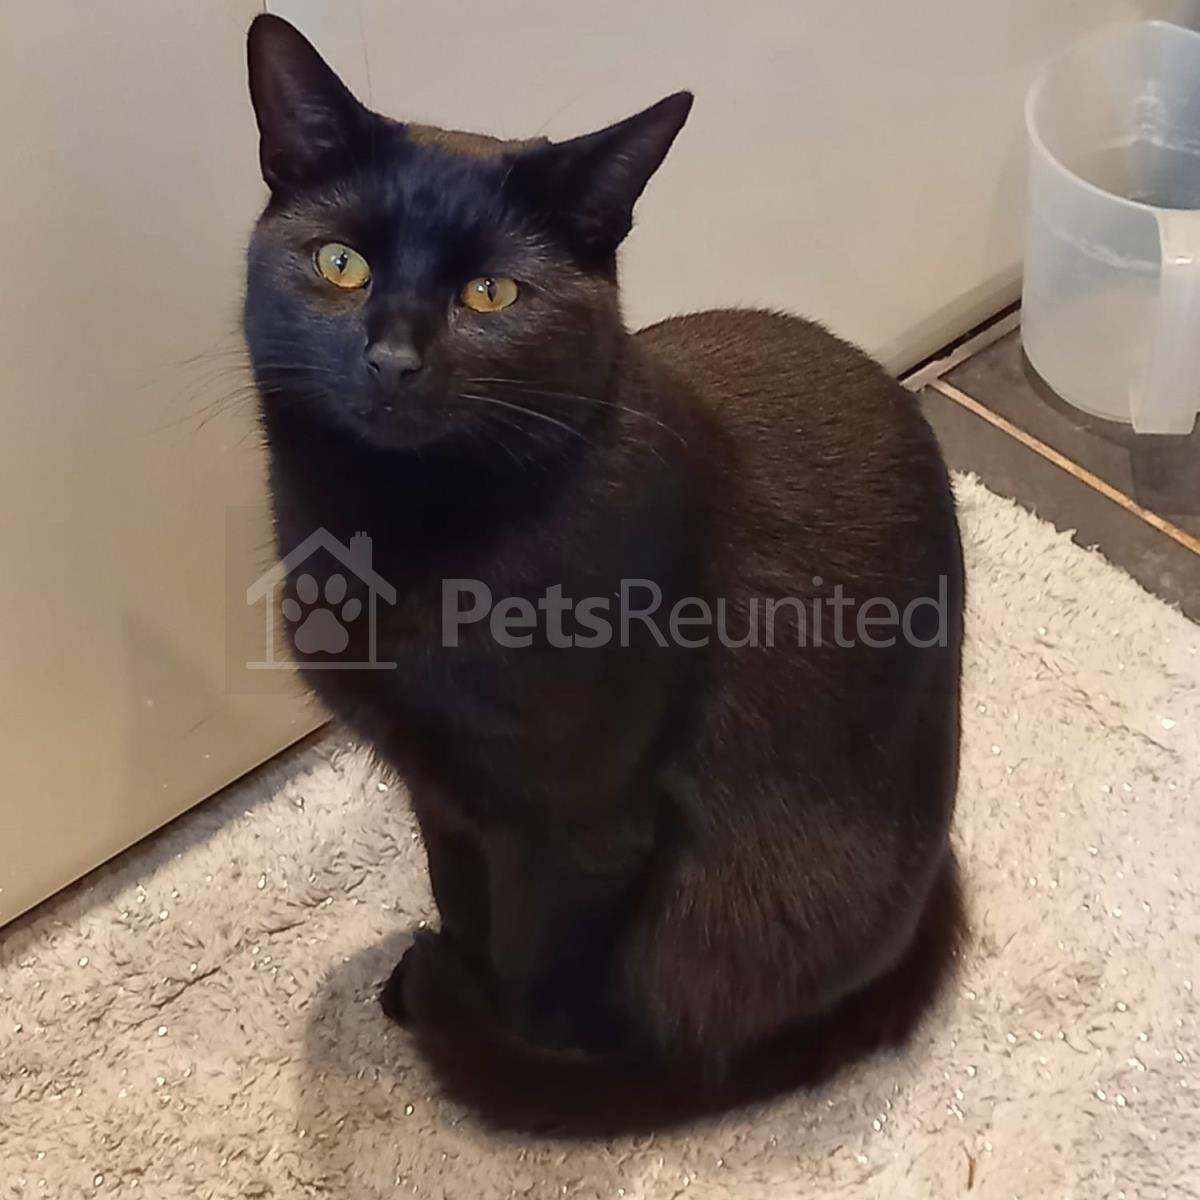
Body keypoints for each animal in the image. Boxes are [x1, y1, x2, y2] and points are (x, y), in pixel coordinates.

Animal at [243, 14, 966, 1134]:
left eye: (490, 292)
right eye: (341, 262)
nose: (394, 356)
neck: (414, 544)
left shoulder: (581, 824)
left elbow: (537, 971)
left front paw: (504, 1048)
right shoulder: (439, 787)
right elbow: (460, 898)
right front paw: (454, 973)